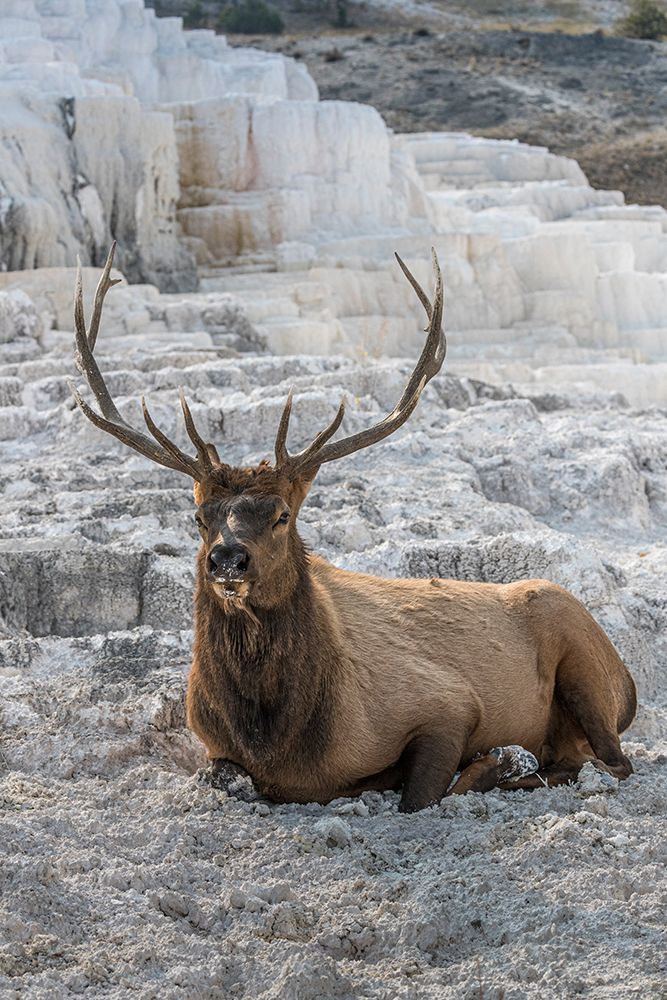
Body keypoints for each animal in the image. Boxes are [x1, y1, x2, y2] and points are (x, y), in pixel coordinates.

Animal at [69, 244, 637, 812]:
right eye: (199, 516)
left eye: (283, 514)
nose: (227, 558)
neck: (281, 741)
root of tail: (629, 685)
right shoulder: (214, 748)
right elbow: (223, 775)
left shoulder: (448, 703)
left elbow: (421, 794)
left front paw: (491, 761)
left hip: (583, 662)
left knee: (610, 762)